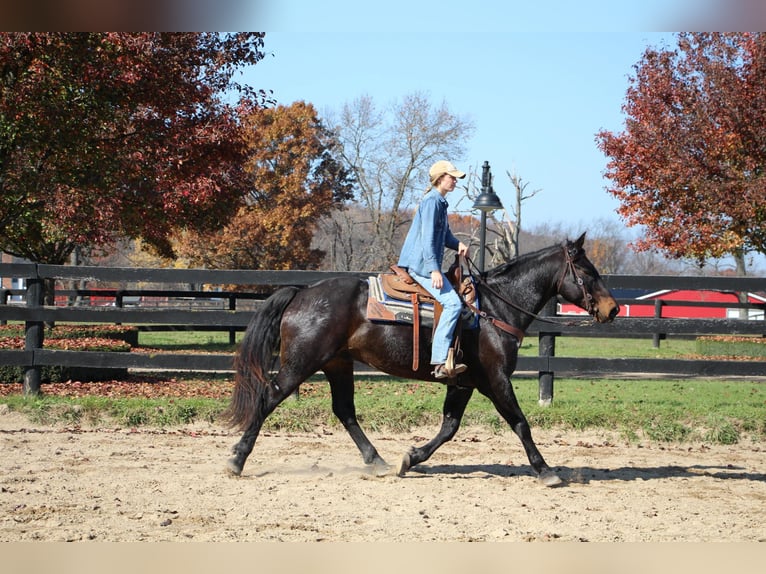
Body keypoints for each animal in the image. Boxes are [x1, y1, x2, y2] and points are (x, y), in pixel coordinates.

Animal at [225, 233, 620, 486]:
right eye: (588, 273)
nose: (613, 309)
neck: (493, 308)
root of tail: (302, 293)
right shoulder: (496, 380)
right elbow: (520, 423)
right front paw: (545, 470)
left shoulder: (463, 383)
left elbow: (449, 427)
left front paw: (411, 457)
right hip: (300, 365)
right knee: (268, 397)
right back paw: (237, 459)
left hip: (337, 364)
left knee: (345, 411)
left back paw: (377, 461)